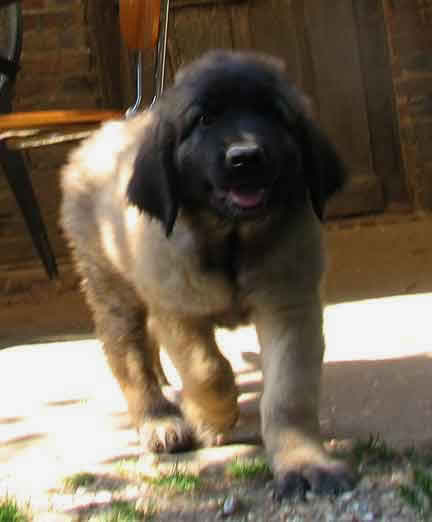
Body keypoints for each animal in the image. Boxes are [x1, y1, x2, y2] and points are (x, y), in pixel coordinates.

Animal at [60, 50, 355, 498]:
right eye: (204, 120)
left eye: (274, 114)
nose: (246, 157)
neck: (231, 240)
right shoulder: (177, 309)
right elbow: (207, 369)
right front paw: (209, 419)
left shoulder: (291, 307)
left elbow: (289, 394)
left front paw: (305, 463)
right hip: (112, 288)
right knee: (129, 357)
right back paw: (160, 419)